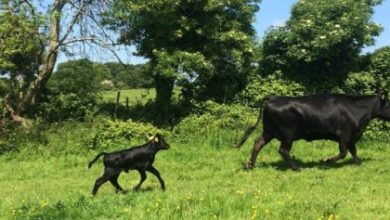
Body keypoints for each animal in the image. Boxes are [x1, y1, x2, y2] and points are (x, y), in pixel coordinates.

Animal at [236, 91, 390, 170]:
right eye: (389, 103)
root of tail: (273, 97)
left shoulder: (352, 135)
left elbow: (353, 151)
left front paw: (358, 162)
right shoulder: (344, 134)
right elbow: (343, 152)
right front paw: (325, 160)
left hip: (269, 131)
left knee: (258, 143)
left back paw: (250, 164)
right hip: (288, 133)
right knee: (283, 150)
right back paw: (296, 168)